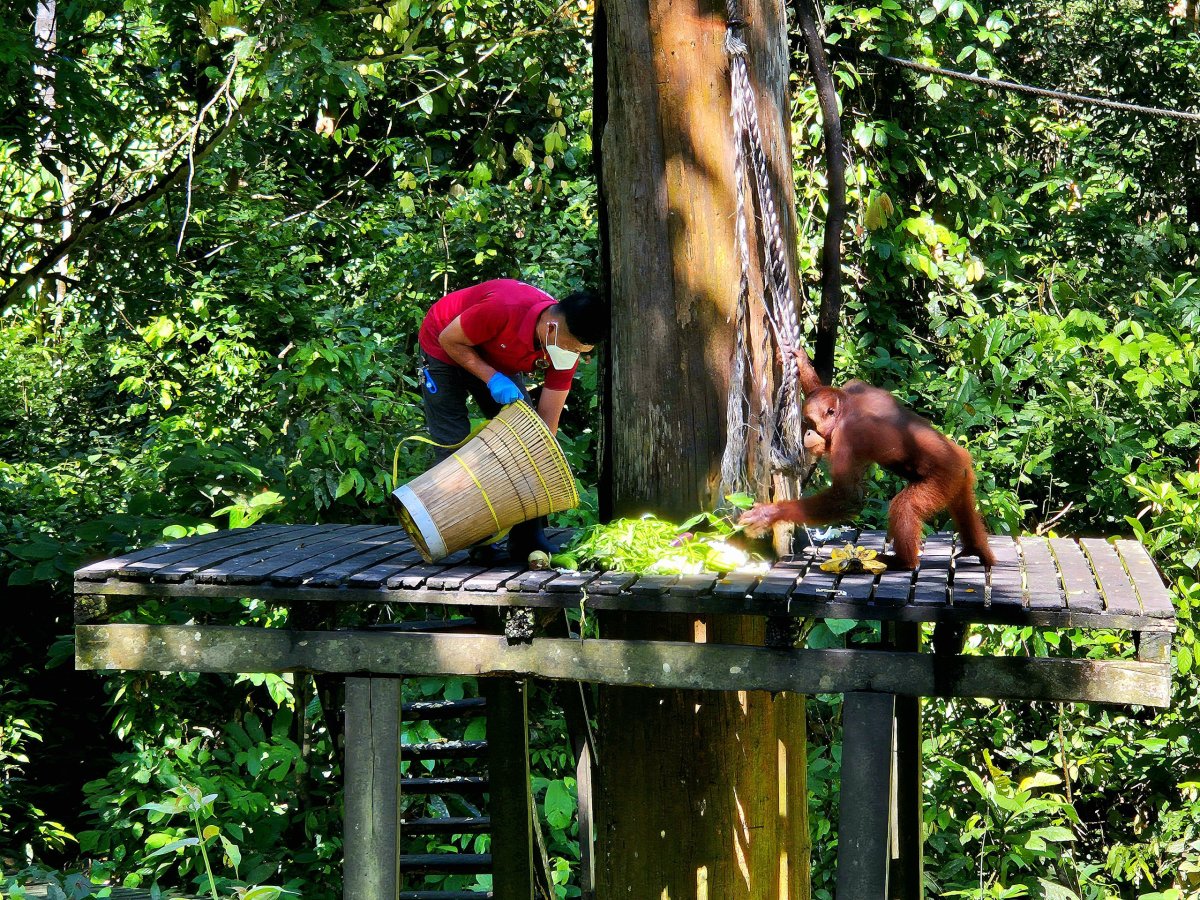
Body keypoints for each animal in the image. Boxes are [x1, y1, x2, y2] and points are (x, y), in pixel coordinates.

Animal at [740, 347, 995, 570]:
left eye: (811, 423)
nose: (808, 434)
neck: (847, 408)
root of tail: (959, 458)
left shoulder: (848, 436)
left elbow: (848, 496)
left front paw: (769, 514)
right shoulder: (855, 387)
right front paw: (801, 361)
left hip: (942, 478)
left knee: (905, 506)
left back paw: (903, 561)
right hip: (961, 476)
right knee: (963, 506)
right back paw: (976, 548)